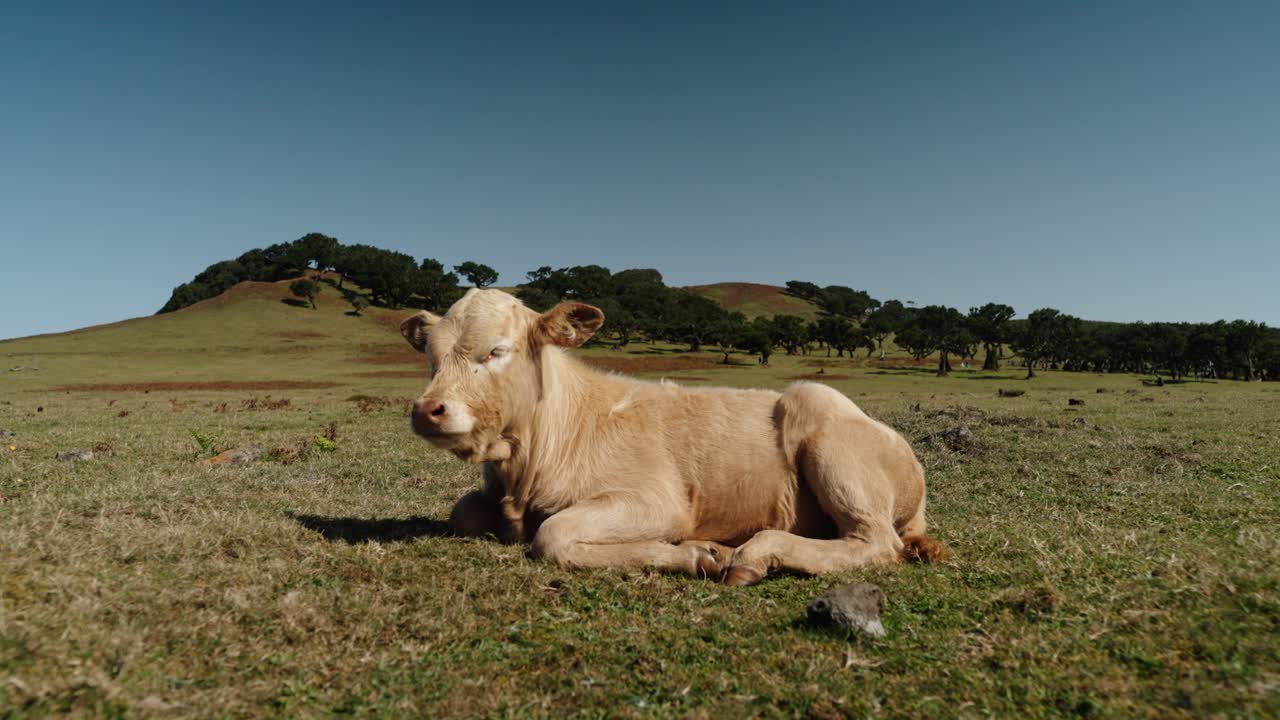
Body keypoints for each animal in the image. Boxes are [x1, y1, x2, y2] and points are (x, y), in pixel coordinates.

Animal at [400, 289, 945, 586]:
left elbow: (552, 535)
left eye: (496, 351)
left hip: (822, 422)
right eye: (430, 355)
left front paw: (695, 554)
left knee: (874, 542)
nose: (428, 410)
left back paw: (753, 554)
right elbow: (464, 512)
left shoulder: (659, 501)